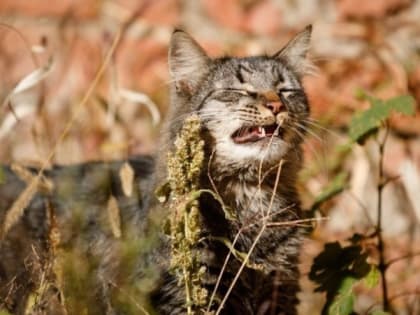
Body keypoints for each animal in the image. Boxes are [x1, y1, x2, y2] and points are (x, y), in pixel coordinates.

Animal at [0, 25, 312, 314]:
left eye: (286, 90)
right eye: (238, 90)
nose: (276, 105)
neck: (251, 200)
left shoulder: (280, 290)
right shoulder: (185, 292)